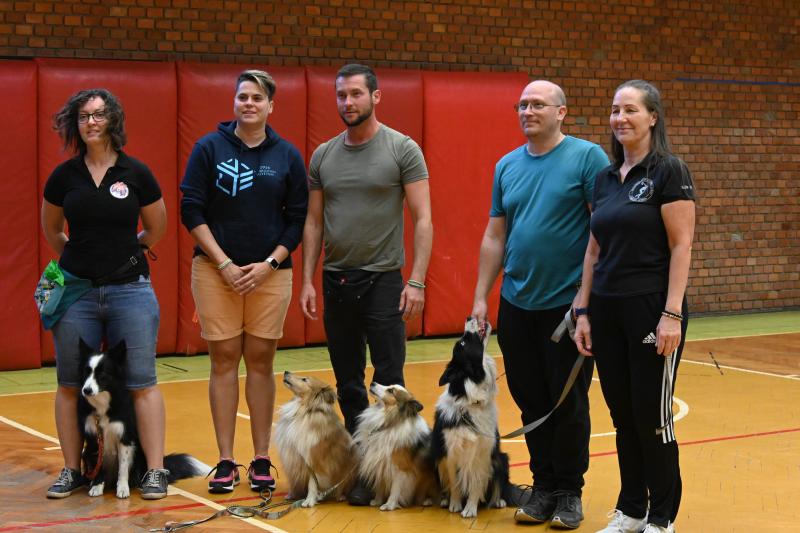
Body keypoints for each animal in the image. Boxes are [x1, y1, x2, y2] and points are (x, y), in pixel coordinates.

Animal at [77, 338, 208, 496]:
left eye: (102, 373)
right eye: (86, 372)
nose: (86, 390)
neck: (103, 406)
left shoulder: (125, 438)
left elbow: (123, 468)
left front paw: (122, 489)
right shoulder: (94, 439)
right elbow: (99, 466)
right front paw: (96, 486)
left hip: (139, 453)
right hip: (86, 453)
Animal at [274, 368, 354, 504]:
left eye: (304, 379)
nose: (286, 371)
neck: (304, 411)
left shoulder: (313, 458)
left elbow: (312, 482)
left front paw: (309, 500)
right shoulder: (293, 456)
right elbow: (294, 480)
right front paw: (292, 494)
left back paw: (340, 496)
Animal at [354, 380, 438, 510]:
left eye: (391, 391)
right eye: (389, 386)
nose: (373, 383)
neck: (389, 423)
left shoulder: (400, 468)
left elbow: (395, 488)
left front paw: (389, 505)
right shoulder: (380, 462)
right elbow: (380, 484)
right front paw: (377, 501)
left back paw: (427, 501)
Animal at [428, 318, 510, 516]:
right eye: (463, 343)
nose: (468, 317)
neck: (471, 400)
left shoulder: (483, 452)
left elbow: (476, 482)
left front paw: (470, 509)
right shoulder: (450, 451)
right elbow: (455, 482)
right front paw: (455, 505)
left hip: (501, 459)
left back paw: (498, 500)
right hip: (436, 458)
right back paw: (445, 500)